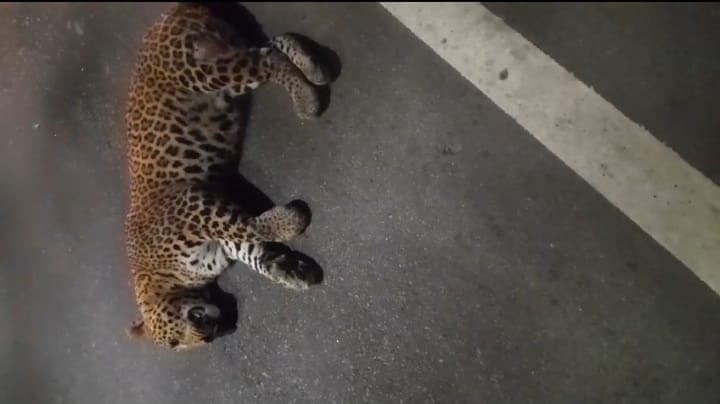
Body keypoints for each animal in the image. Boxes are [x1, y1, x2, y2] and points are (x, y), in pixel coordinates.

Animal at [123, 3, 333, 351]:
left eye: (174, 342)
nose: (209, 336)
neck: (161, 276)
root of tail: (169, 14)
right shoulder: (223, 243)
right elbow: (257, 250)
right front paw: (294, 272)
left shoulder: (193, 205)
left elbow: (249, 226)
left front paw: (292, 221)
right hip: (227, 73)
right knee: (271, 46)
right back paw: (314, 67)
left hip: (206, 71)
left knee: (268, 59)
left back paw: (308, 99)